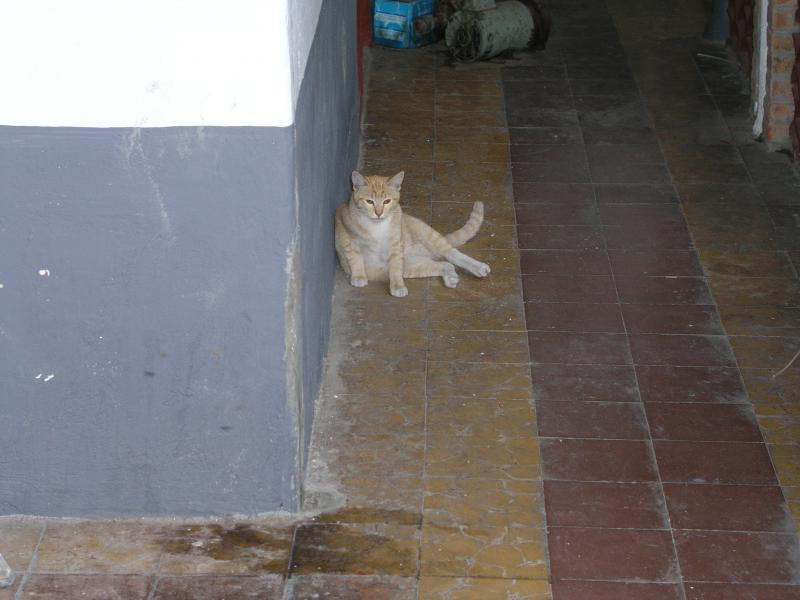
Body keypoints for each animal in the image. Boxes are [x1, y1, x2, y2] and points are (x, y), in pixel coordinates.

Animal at [335, 170, 491, 297]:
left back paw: (478, 267)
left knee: (453, 255)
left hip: (429, 235)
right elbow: (355, 258)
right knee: (445, 264)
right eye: (369, 201)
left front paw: (398, 286)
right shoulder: (346, 235)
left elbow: (396, 267)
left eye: (387, 201)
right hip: (414, 266)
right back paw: (451, 277)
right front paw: (358, 276)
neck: (376, 226)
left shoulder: (395, 246)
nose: (378, 213)